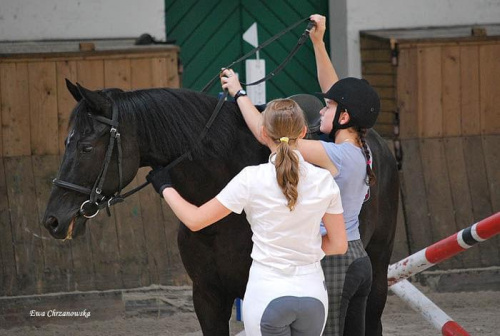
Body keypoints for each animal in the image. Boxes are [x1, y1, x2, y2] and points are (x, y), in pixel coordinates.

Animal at [42, 82, 398, 336]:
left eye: (86, 147)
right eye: (66, 142)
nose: (53, 220)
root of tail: (376, 142)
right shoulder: (208, 297)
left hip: (378, 268)